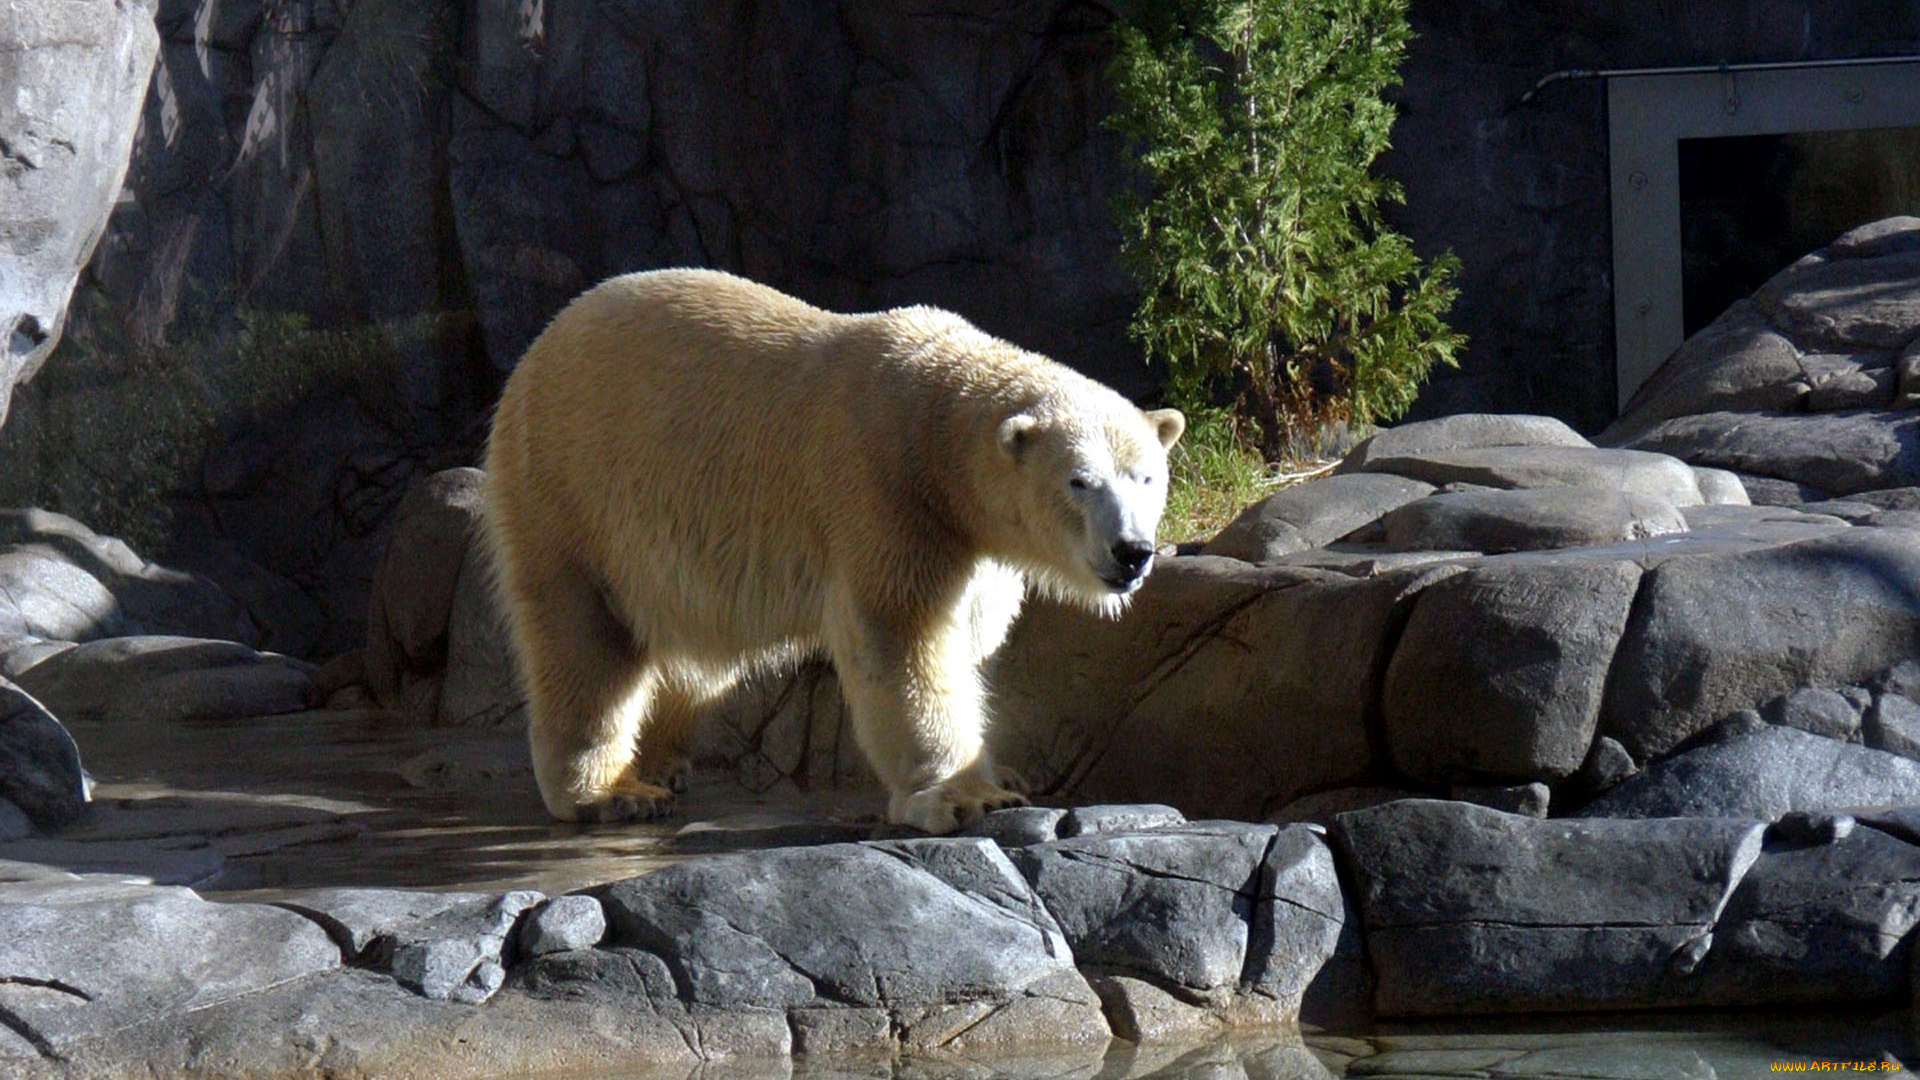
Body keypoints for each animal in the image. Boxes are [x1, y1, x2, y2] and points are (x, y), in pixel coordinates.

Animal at [483, 269, 1184, 833]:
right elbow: (901, 639)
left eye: (1147, 477)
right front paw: (966, 797)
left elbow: (971, 634)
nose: (1133, 552)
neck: (933, 425)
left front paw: (1002, 775)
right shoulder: (884, 493)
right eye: (1080, 481)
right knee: (586, 640)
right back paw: (611, 792)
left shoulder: (973, 542)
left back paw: (663, 762)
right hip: (571, 488)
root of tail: (535, 352)